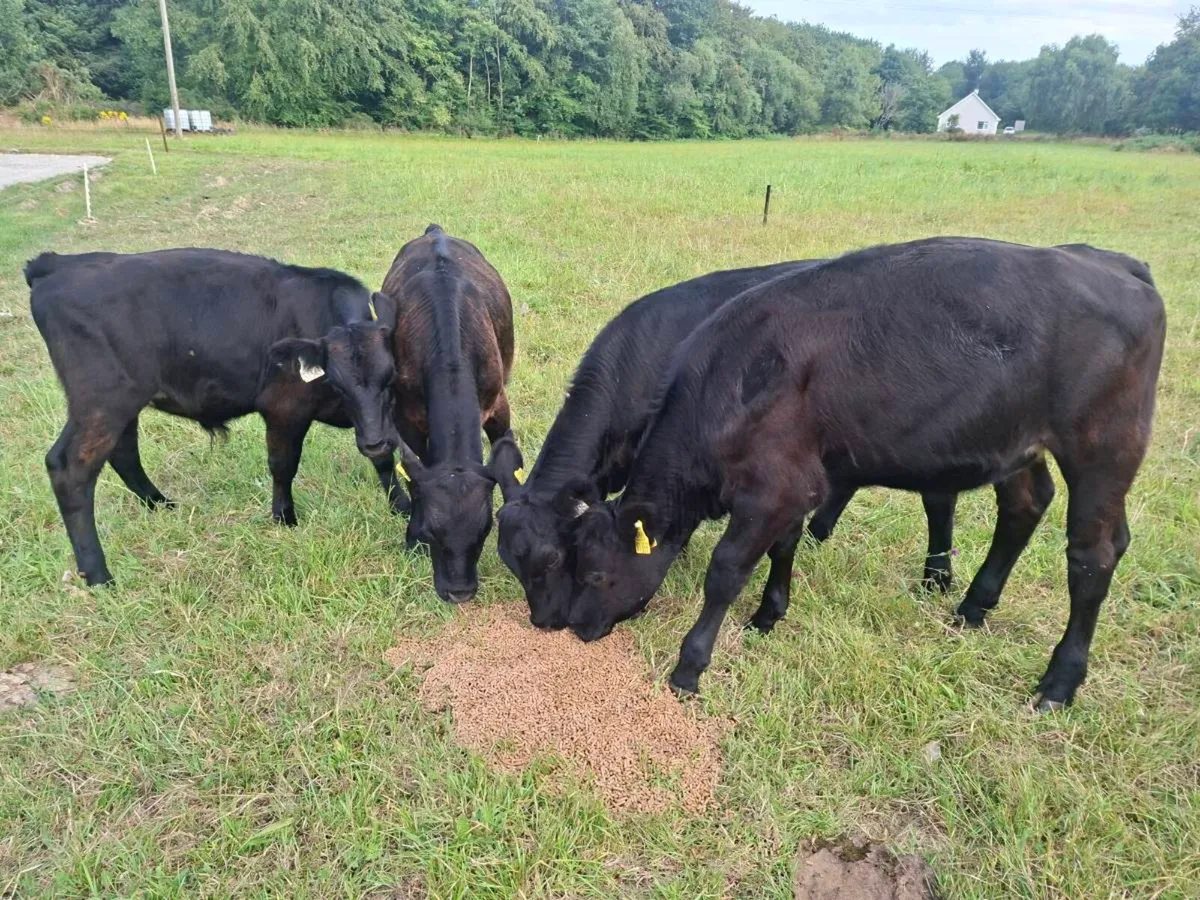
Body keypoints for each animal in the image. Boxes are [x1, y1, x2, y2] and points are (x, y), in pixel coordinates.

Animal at [27, 248, 402, 586]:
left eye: (391, 378)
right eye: (337, 384)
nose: (374, 441)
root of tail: (56, 264)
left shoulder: (375, 422)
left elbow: (385, 460)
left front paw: (400, 505)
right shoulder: (284, 408)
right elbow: (283, 465)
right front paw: (285, 518)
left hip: (117, 402)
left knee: (123, 452)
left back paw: (160, 504)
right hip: (102, 399)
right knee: (70, 469)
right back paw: (98, 574)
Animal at [376, 225, 520, 603]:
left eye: (484, 530)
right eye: (430, 532)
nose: (459, 592)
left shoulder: (499, 405)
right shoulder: (407, 417)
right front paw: (410, 537)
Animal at [564, 238, 1165, 711]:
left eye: (593, 574)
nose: (576, 627)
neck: (729, 385)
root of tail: (1114, 262)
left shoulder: (770, 489)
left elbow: (726, 572)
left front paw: (689, 669)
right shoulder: (798, 484)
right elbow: (784, 547)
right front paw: (768, 616)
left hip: (1104, 447)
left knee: (1093, 554)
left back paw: (1059, 683)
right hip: (1016, 442)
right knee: (1025, 505)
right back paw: (973, 608)